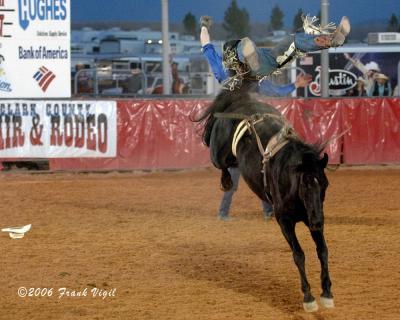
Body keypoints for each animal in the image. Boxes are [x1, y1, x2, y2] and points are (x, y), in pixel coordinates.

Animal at [195, 86, 332, 312]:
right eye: (305, 185)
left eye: (325, 184)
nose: (317, 221)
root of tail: (240, 101)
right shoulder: (285, 221)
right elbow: (299, 254)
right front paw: (308, 298)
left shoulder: (313, 215)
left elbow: (322, 250)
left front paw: (327, 293)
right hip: (218, 152)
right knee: (217, 158)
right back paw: (226, 181)